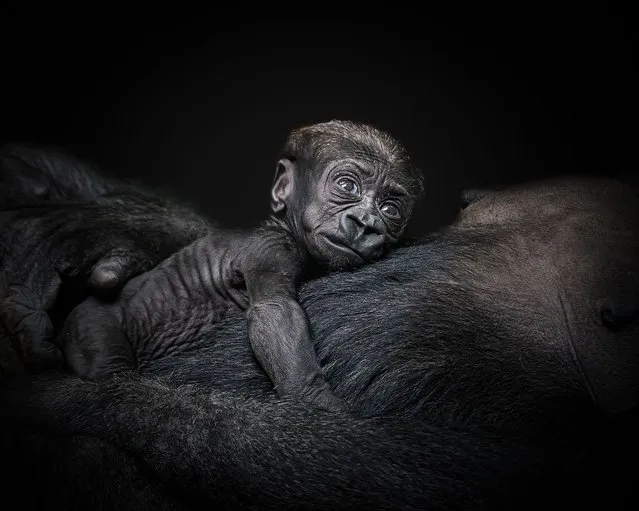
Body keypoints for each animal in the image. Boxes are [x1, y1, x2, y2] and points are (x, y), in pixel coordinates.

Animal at [57, 119, 422, 408]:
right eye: (347, 185)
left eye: (389, 209)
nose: (365, 223)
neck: (285, 227)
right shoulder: (272, 249)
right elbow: (275, 313)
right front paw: (315, 400)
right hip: (89, 321)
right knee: (108, 361)